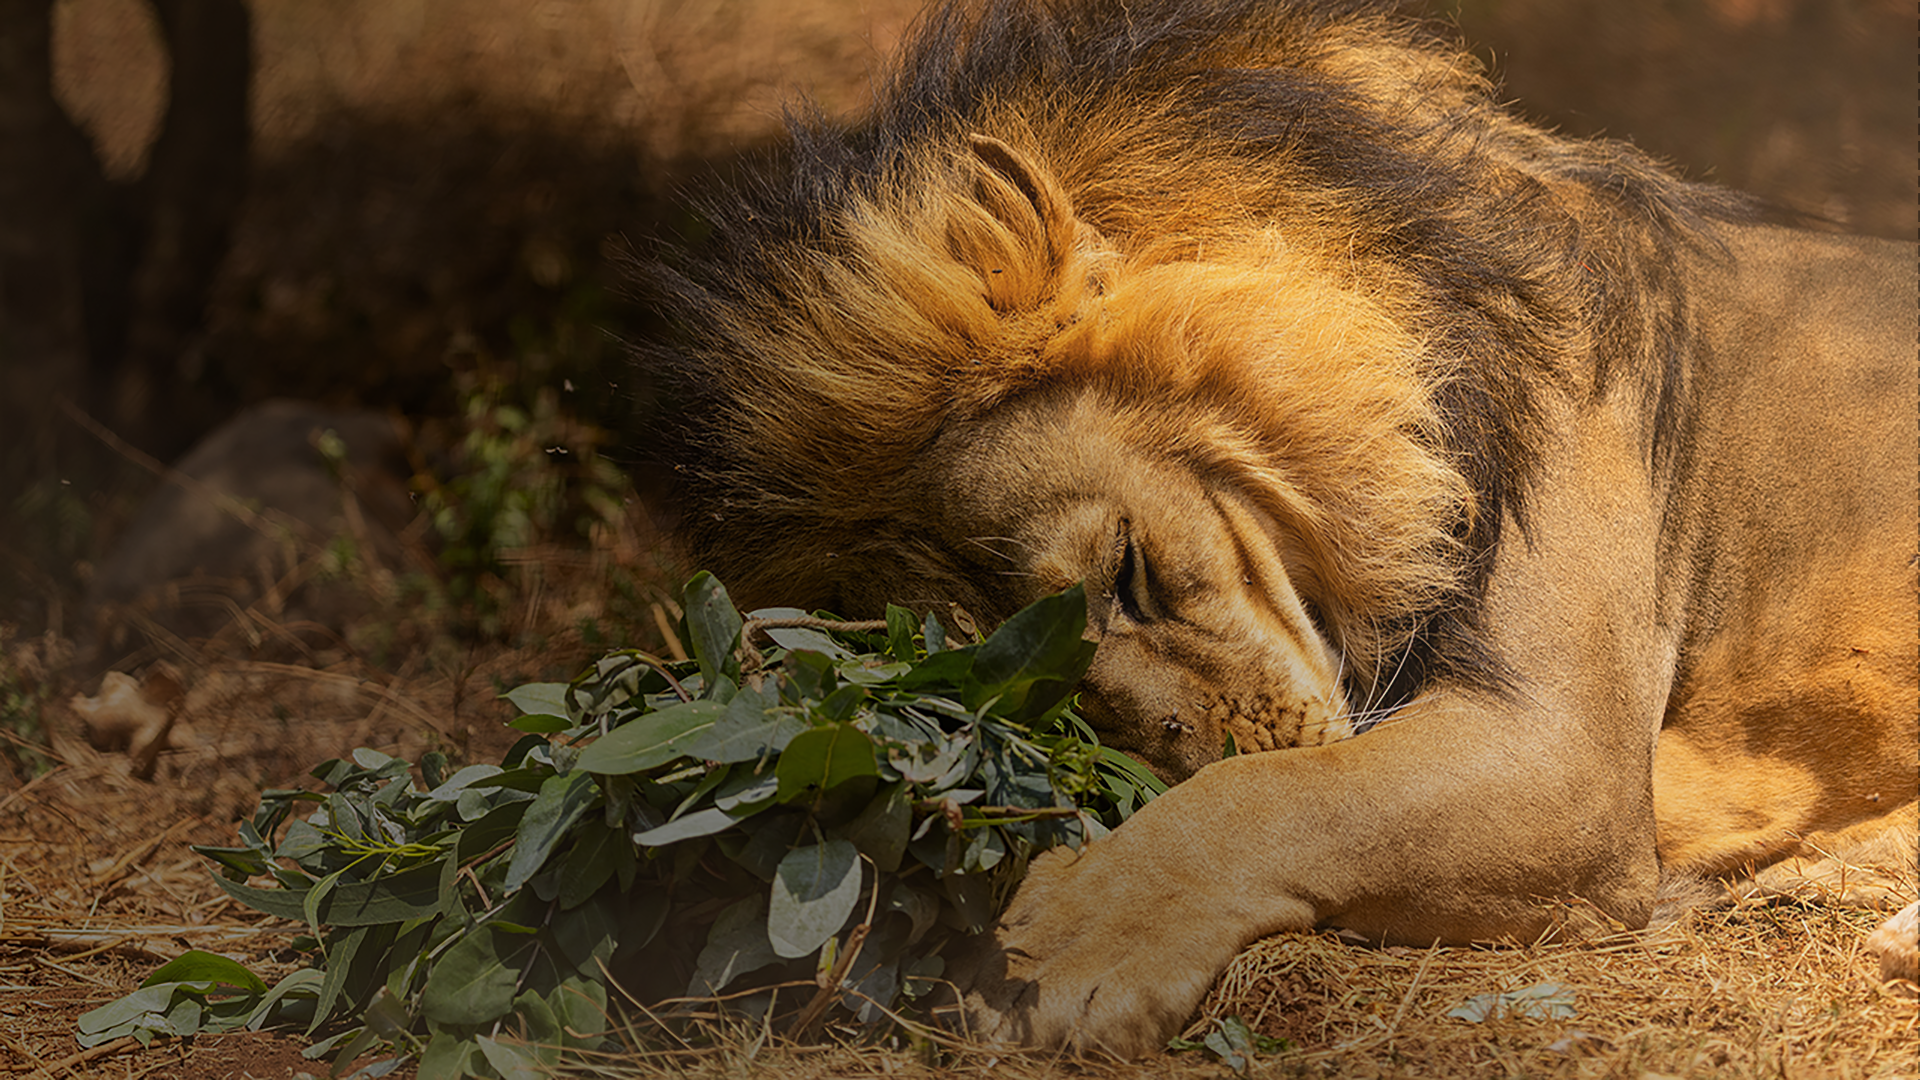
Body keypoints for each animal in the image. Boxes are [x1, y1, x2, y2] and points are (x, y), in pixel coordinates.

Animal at [639, 0, 1920, 1056]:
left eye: (1131, 576)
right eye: (1035, 694)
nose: (1172, 759)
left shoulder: (1563, 756)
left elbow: (1281, 800)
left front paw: (1050, 954)